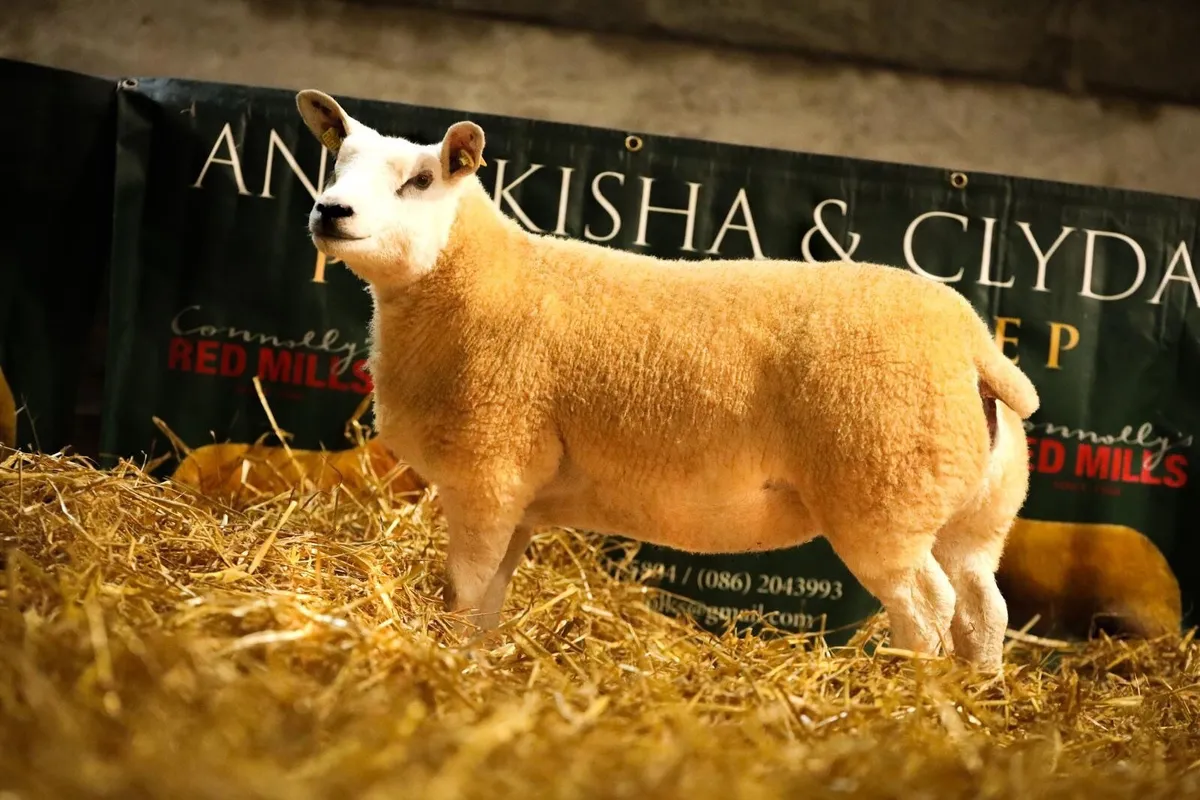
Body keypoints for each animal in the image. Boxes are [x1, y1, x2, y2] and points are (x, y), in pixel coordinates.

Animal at [294, 89, 1040, 671]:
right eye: (337, 161)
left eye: (420, 181)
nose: (331, 211)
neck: (481, 281)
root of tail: (977, 345)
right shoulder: (520, 496)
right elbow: (491, 600)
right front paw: (480, 660)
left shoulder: (488, 473)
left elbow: (466, 592)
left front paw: (448, 657)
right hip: (978, 509)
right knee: (984, 611)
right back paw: (978, 703)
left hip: (886, 500)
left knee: (929, 612)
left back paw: (913, 701)